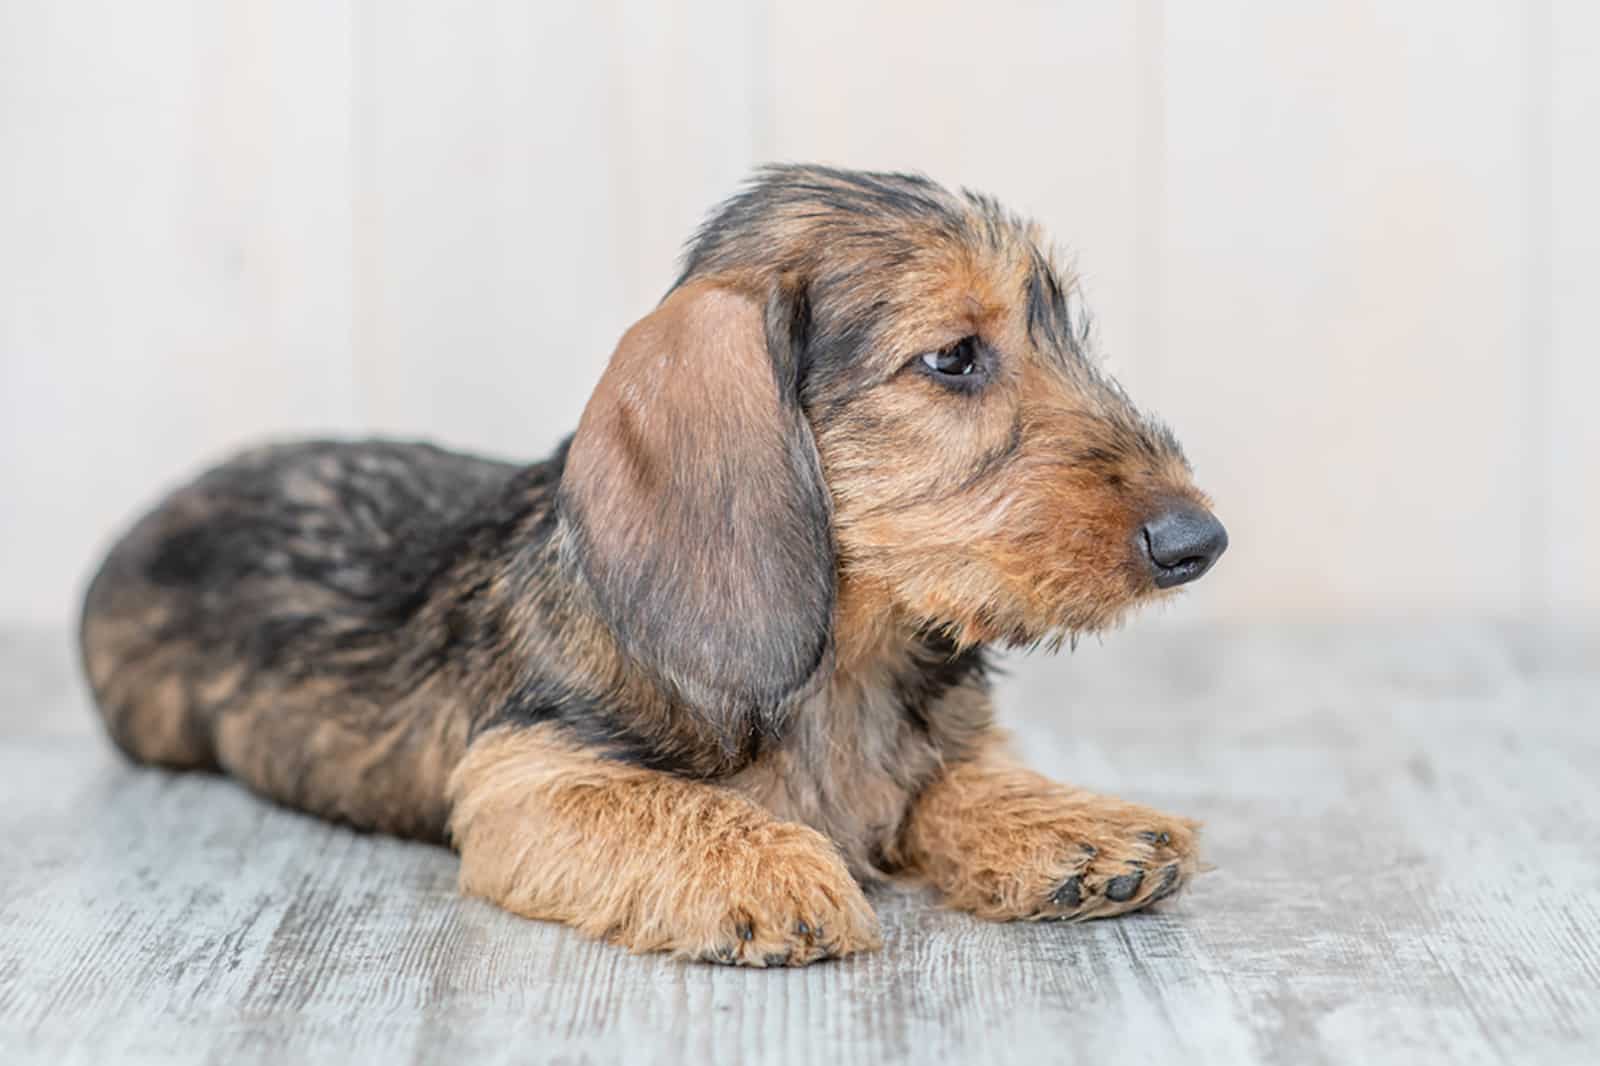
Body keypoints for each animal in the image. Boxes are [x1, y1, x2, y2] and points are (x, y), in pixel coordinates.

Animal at [81, 164, 1228, 960]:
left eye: (1070, 336)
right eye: (953, 357)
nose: (1198, 542)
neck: (844, 660)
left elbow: (954, 774)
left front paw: (1073, 824)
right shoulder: (525, 774)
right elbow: (661, 801)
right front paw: (767, 863)